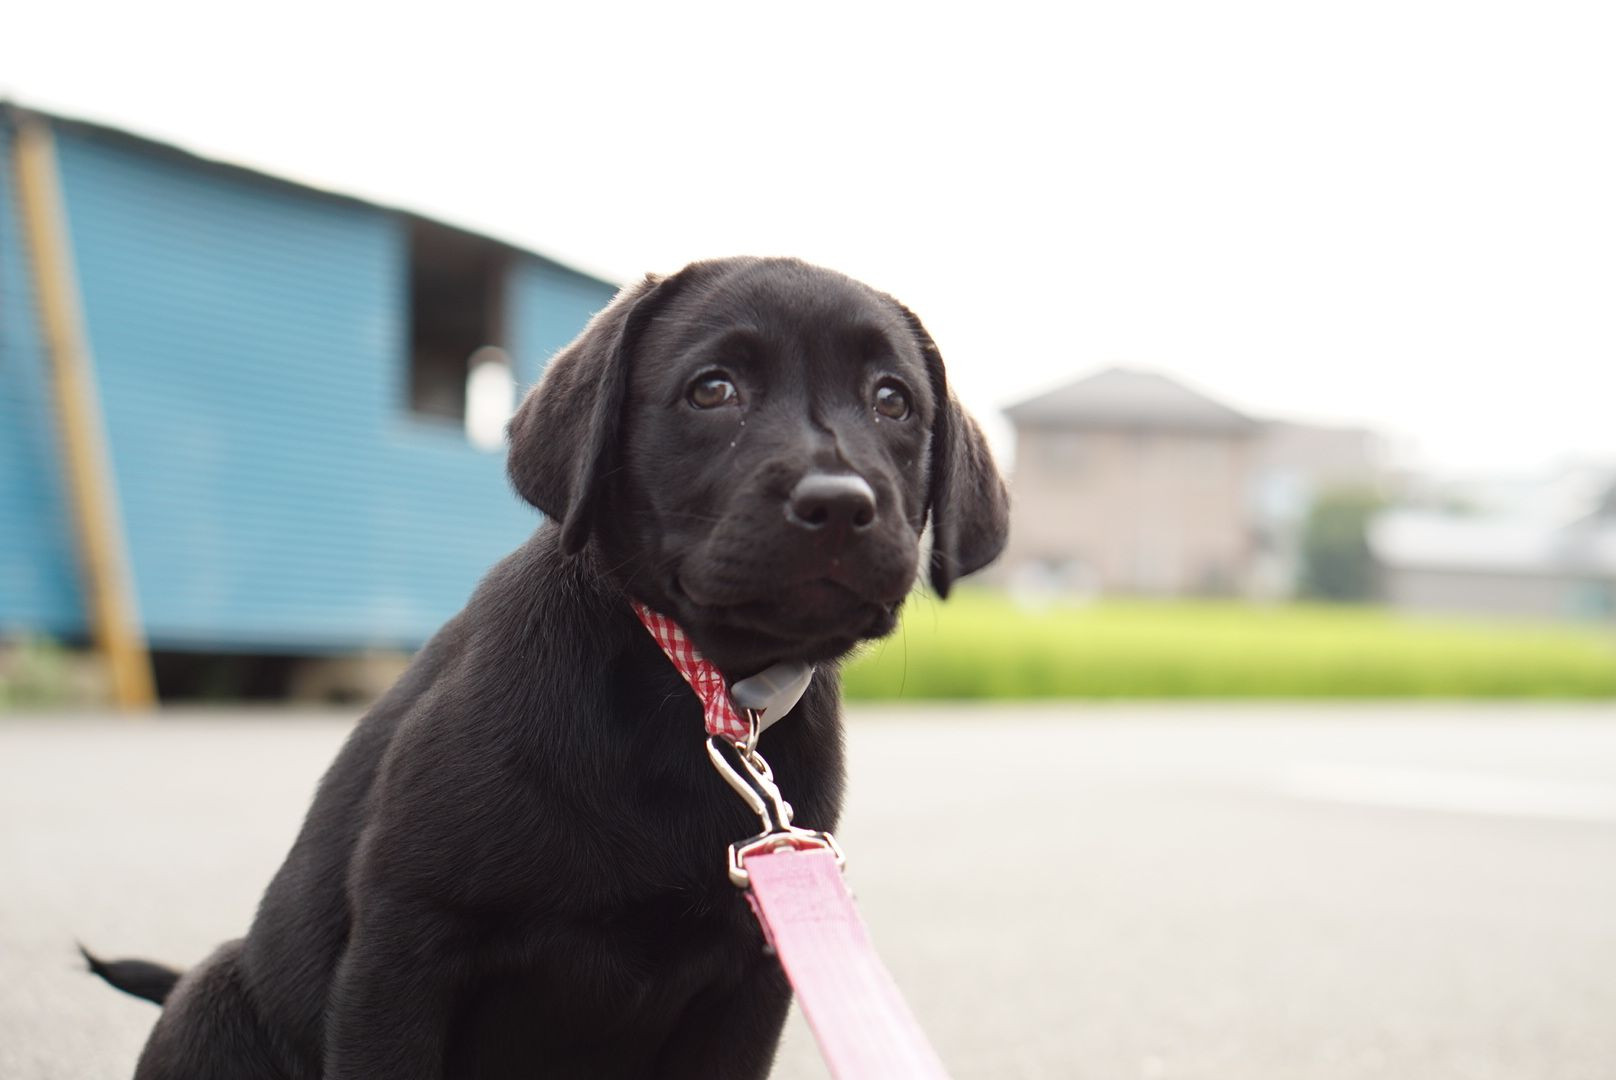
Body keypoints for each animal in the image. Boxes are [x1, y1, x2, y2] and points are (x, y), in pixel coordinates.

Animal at [86, 256, 1008, 1079]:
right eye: (712, 390)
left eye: (892, 401)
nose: (841, 505)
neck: (690, 692)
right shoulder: (401, 949)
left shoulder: (748, 987)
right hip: (212, 999)